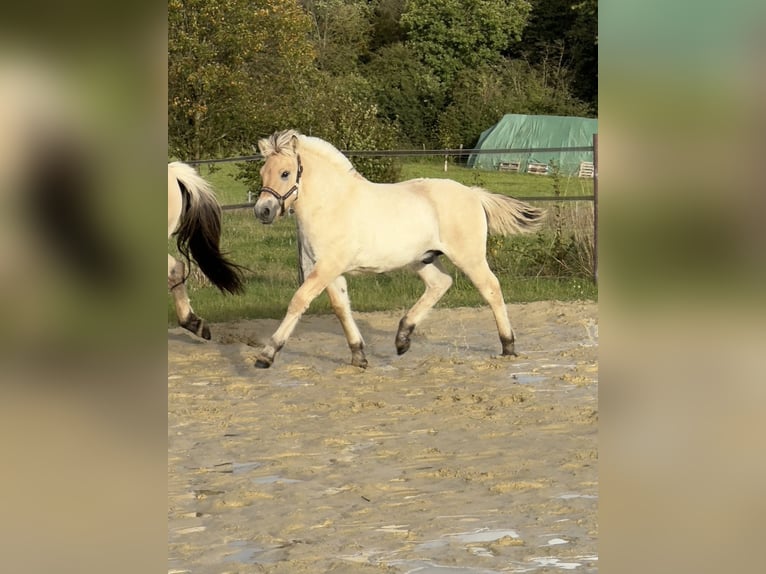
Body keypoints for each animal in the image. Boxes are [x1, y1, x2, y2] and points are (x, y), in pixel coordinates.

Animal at [252, 130, 545, 369]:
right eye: (262, 173)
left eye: (285, 173)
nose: (262, 211)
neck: (332, 204)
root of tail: (474, 194)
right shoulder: (326, 269)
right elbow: (340, 307)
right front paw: (358, 355)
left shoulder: (328, 266)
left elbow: (299, 300)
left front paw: (267, 355)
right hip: (422, 259)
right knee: (441, 283)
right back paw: (402, 338)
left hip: (469, 257)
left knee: (491, 289)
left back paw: (508, 346)